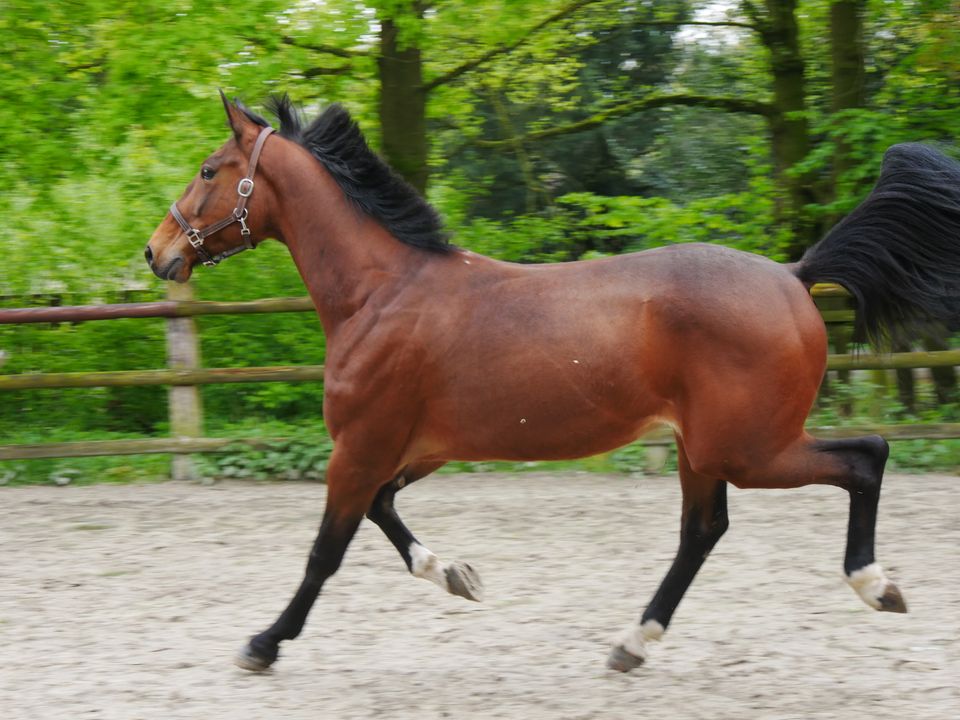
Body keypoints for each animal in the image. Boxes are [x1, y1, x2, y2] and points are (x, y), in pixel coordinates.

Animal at [144, 93, 960, 672]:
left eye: (209, 170)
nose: (157, 252)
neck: (383, 293)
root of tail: (794, 277)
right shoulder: (410, 449)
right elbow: (382, 514)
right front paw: (456, 575)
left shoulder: (360, 446)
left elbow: (326, 550)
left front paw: (263, 642)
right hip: (706, 450)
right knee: (703, 532)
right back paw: (633, 643)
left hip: (747, 447)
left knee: (866, 457)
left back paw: (876, 585)